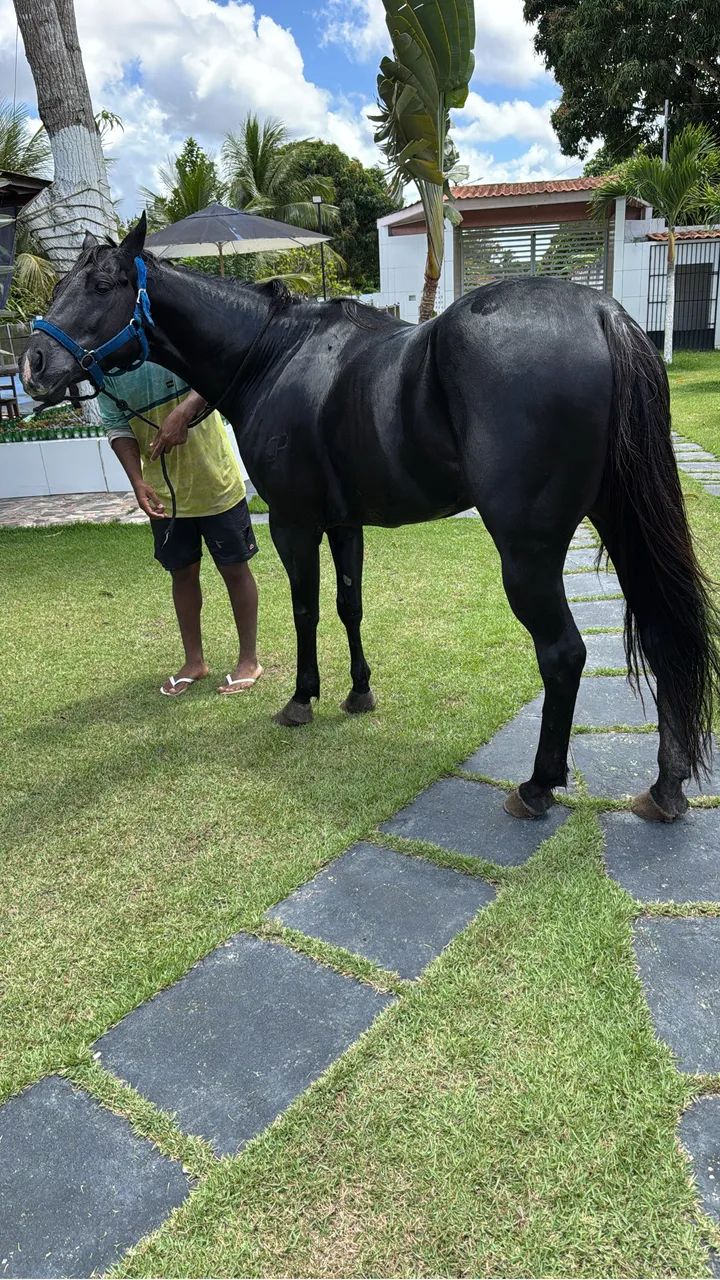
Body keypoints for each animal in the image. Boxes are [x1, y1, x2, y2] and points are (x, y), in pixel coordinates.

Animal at [21, 213, 720, 824]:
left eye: (103, 285)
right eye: (58, 285)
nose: (32, 365)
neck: (273, 353)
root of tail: (604, 315)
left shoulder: (294, 523)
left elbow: (305, 608)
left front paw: (301, 698)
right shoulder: (345, 522)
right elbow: (349, 604)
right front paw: (358, 692)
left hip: (528, 553)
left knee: (564, 654)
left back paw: (539, 785)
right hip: (622, 522)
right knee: (662, 633)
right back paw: (666, 787)